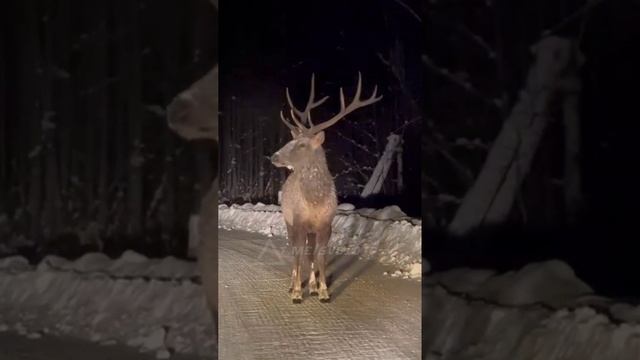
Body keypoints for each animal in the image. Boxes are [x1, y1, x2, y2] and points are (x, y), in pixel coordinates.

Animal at [268, 71, 380, 302]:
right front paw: (297, 293)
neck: (315, 201)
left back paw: (310, 286)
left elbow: (320, 257)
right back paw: (293, 286)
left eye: (302, 145)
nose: (274, 156)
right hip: (288, 220)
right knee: (295, 250)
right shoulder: (299, 221)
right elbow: (299, 254)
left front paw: (323, 291)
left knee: (310, 253)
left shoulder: (325, 224)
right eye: (291, 142)